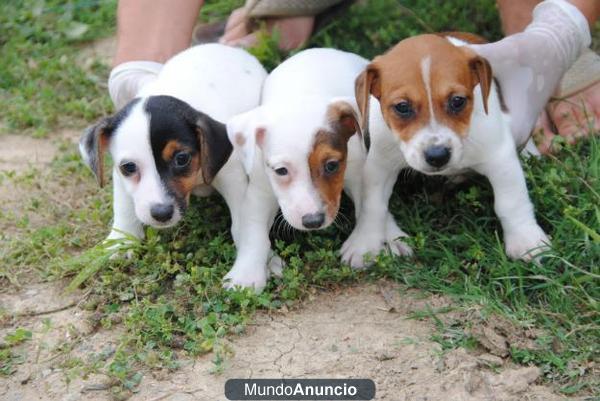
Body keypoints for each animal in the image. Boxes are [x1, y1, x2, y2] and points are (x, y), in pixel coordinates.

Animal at [225, 48, 380, 290]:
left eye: (332, 165)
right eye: (281, 171)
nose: (313, 221)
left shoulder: (357, 172)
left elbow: (371, 205)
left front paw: (374, 240)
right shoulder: (259, 193)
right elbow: (254, 234)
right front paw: (246, 276)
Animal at [344, 32, 552, 268]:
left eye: (457, 101)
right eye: (402, 107)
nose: (438, 156)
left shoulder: (500, 157)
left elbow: (511, 202)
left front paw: (527, 240)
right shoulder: (379, 165)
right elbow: (372, 206)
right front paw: (364, 243)